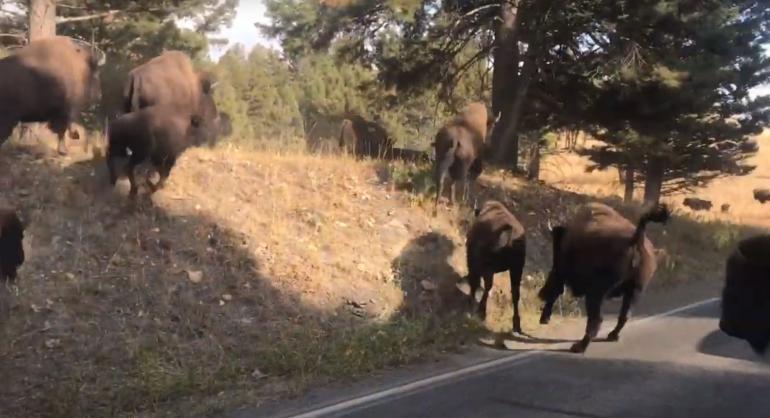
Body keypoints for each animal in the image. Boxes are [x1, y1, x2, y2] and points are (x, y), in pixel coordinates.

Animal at [465, 200, 526, 333]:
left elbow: (475, 280)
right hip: (517, 269)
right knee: (515, 294)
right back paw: (517, 325)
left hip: (490, 267)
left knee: (486, 285)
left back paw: (481, 311)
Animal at [539, 203, 670, 353]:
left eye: (556, 246)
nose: (540, 294)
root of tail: (636, 239)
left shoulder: (560, 271)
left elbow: (555, 290)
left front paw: (544, 318)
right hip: (634, 291)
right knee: (624, 315)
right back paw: (612, 336)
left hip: (595, 294)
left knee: (596, 320)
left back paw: (579, 347)